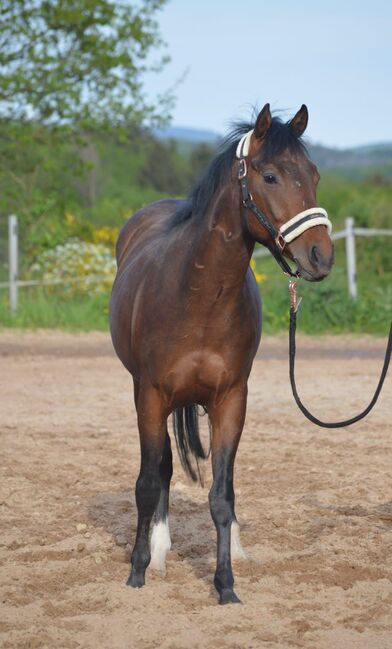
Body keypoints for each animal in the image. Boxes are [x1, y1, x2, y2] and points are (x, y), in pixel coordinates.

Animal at [110, 104, 334, 604]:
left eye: (313, 174)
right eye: (270, 176)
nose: (321, 256)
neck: (198, 296)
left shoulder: (231, 399)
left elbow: (221, 495)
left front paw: (226, 584)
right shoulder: (149, 396)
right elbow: (148, 481)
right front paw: (136, 572)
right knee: (163, 469)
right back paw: (158, 552)